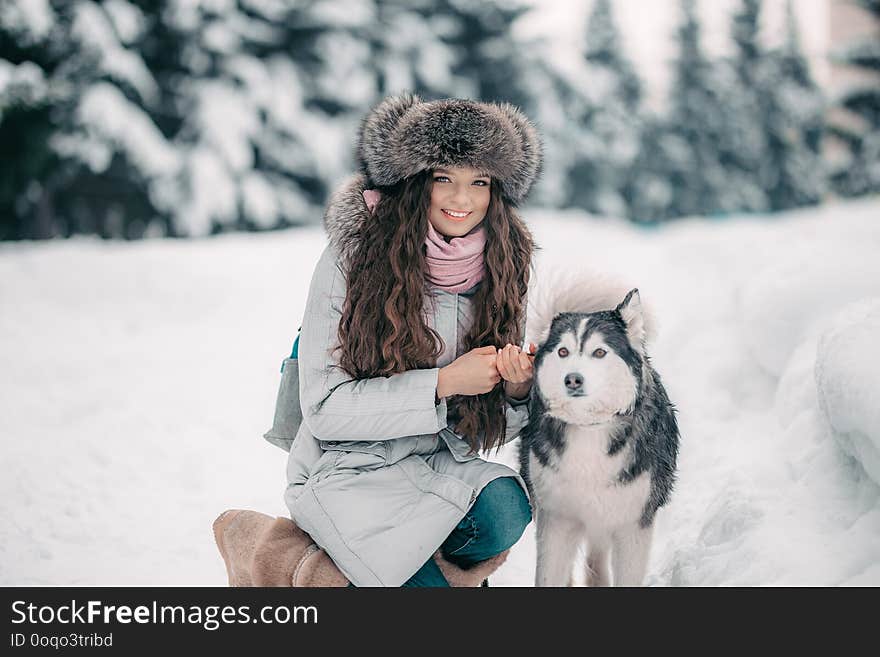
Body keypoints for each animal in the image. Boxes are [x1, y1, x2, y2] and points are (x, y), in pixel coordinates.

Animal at [524, 274, 680, 588]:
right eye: (563, 351)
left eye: (599, 352)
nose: (572, 379)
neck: (590, 427)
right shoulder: (556, 519)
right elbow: (548, 576)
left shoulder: (633, 525)